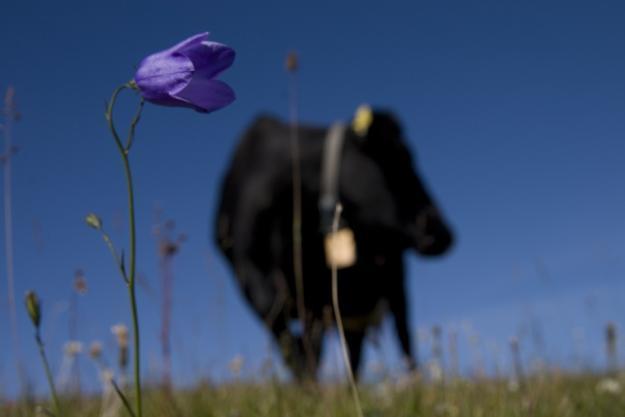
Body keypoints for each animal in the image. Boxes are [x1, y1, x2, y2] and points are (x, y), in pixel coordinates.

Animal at [216, 108, 454, 380]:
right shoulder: (255, 276)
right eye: (402, 156)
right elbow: (290, 339)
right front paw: (308, 382)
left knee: (401, 339)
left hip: (388, 285)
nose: (443, 233)